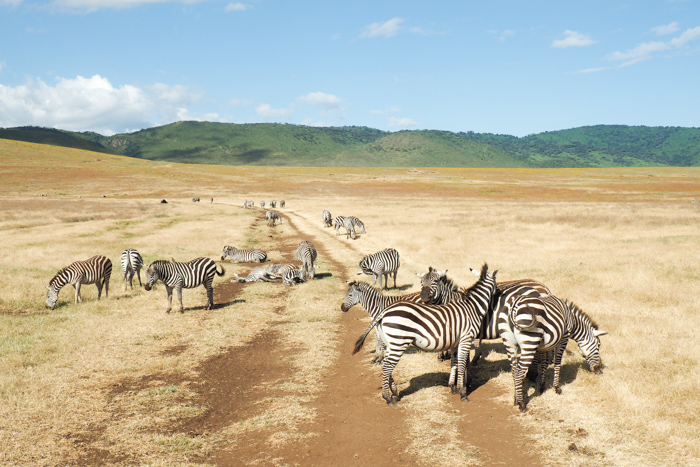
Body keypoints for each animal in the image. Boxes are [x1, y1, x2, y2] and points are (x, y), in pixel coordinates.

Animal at [356, 264, 498, 406]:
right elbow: (462, 363)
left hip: (390, 342)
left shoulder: (455, 341)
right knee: (387, 366)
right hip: (399, 342)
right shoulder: (465, 339)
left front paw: (453, 387)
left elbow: (455, 362)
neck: (472, 307)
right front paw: (463, 391)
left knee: (385, 364)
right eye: (496, 284)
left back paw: (394, 392)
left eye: (435, 281)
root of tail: (384, 311)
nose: (498, 294)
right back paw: (388, 398)